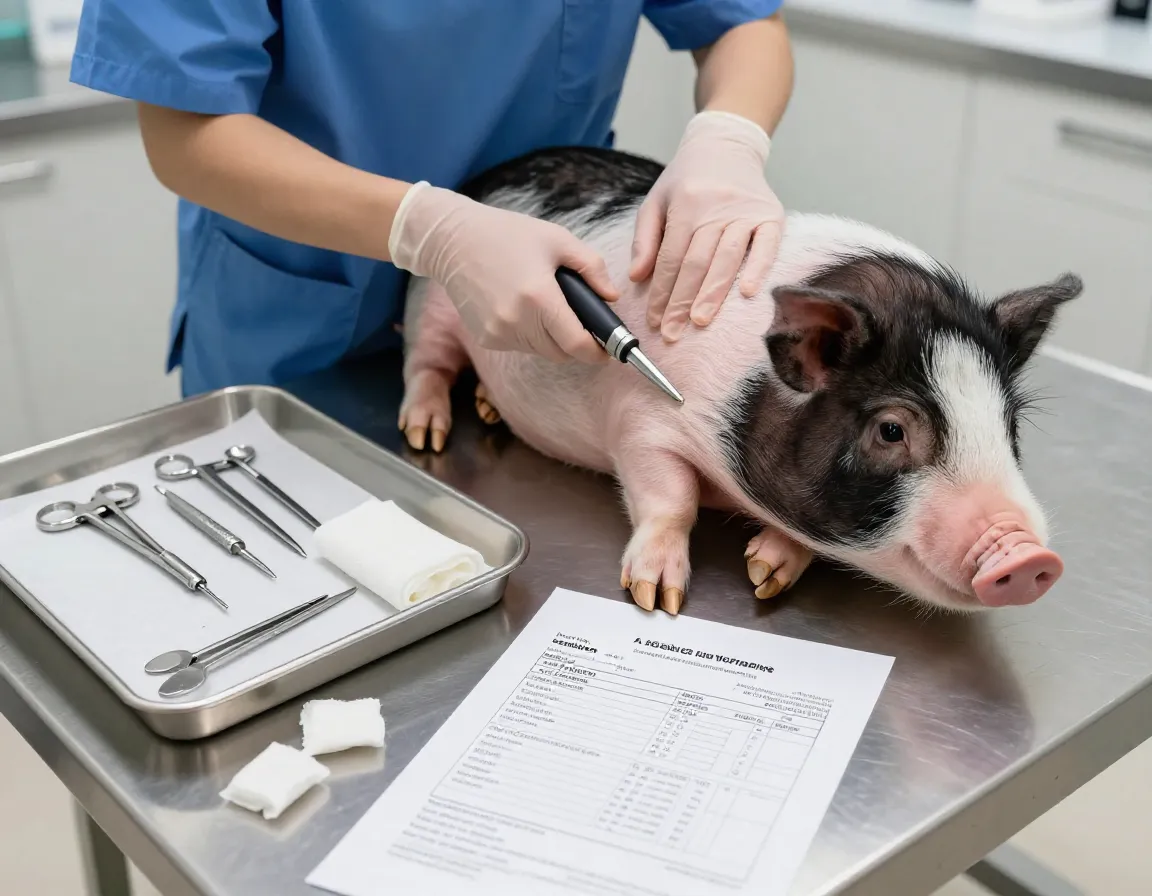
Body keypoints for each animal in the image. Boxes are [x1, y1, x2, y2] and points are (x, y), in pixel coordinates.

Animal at [399, 146, 1082, 616]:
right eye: (891, 430)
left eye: (1008, 424)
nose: (1031, 556)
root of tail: (493, 171)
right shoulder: (641, 420)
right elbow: (670, 496)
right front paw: (657, 598)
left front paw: (765, 574)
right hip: (431, 299)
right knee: (426, 362)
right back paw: (426, 432)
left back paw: (488, 407)